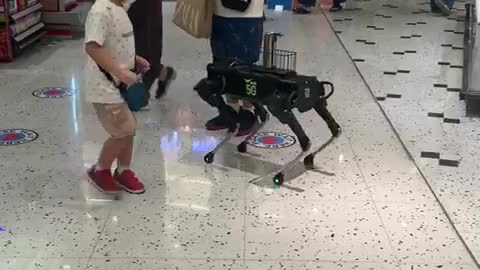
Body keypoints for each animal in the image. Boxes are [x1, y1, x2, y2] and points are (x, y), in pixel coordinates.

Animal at [193, 33, 340, 186]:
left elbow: (234, 123)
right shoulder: (248, 95)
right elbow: (259, 117)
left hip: (283, 107)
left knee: (308, 140)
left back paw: (281, 174)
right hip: (314, 101)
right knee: (334, 129)